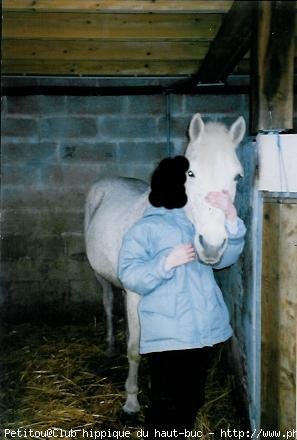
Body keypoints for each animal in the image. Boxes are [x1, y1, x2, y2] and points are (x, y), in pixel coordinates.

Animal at [84, 112, 245, 412]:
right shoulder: (135, 294)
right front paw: (131, 401)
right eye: (190, 173)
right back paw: (110, 346)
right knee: (108, 304)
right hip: (101, 277)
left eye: (237, 176)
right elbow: (134, 350)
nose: (211, 245)